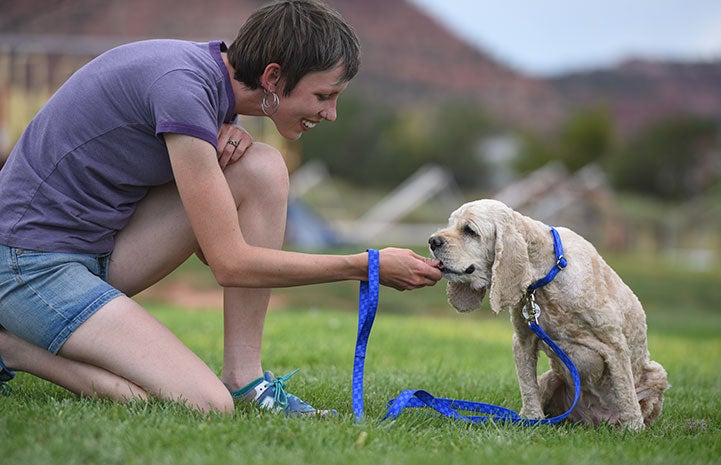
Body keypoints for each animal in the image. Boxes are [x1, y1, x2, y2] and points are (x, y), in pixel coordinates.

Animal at [428, 198, 668, 430]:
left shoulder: (614, 345)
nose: (432, 241)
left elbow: (625, 392)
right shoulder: (523, 340)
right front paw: (531, 419)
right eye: (450, 224)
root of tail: (594, 420)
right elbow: (527, 386)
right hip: (551, 378)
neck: (549, 273)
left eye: (469, 230)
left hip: (657, 373)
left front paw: (633, 428)